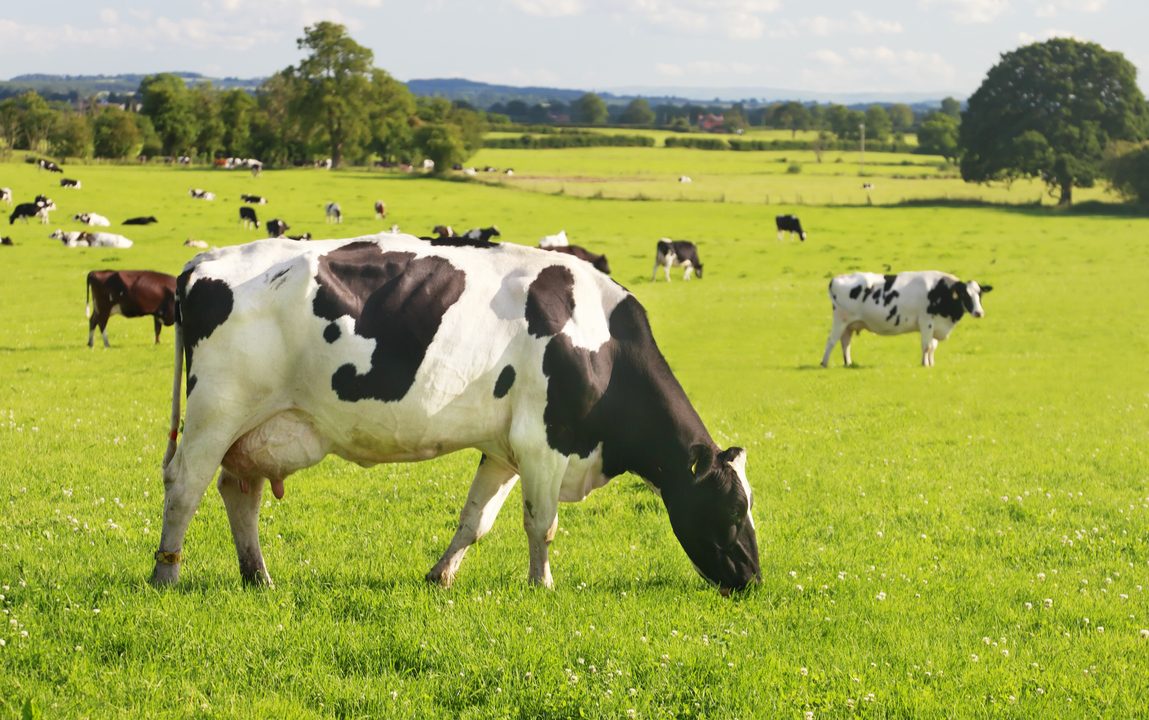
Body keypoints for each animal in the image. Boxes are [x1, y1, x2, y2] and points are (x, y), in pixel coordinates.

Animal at [150, 234, 760, 595]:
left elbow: (476, 520)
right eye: (732, 510)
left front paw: (440, 575)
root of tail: (203, 261)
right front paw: (542, 585)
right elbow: (542, 523)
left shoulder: (504, 450)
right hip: (216, 413)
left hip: (256, 428)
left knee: (238, 492)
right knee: (185, 486)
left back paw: (258, 576)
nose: (754, 578)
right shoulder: (545, 442)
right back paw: (166, 571)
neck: (598, 339)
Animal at [821, 271, 993, 368]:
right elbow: (926, 346)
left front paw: (931, 363)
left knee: (845, 343)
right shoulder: (926, 321)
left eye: (980, 294)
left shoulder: (935, 325)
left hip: (849, 324)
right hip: (840, 320)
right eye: (965, 294)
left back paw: (848, 363)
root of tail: (836, 278)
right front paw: (925, 364)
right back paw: (824, 363)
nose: (979, 312)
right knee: (831, 341)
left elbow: (933, 346)